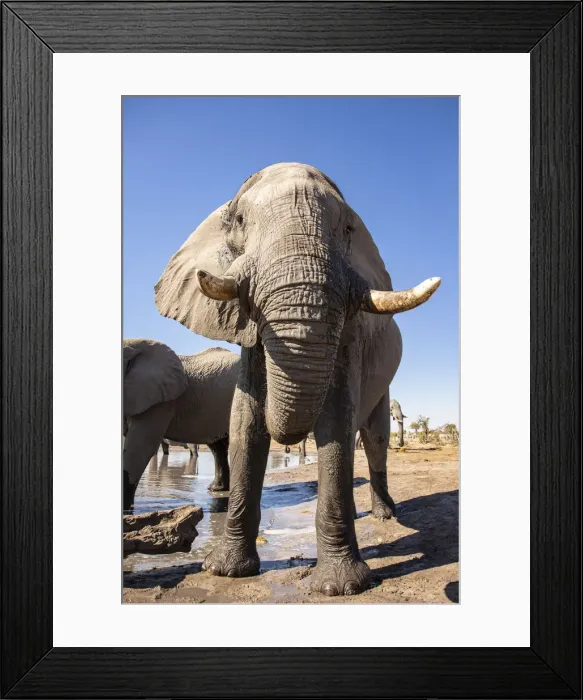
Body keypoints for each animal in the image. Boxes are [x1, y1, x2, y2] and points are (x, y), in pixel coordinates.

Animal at [155, 162, 440, 595]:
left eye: (347, 228)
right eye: (240, 221)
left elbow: (335, 420)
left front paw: (342, 588)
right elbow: (246, 422)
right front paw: (224, 570)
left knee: (374, 436)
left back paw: (384, 515)